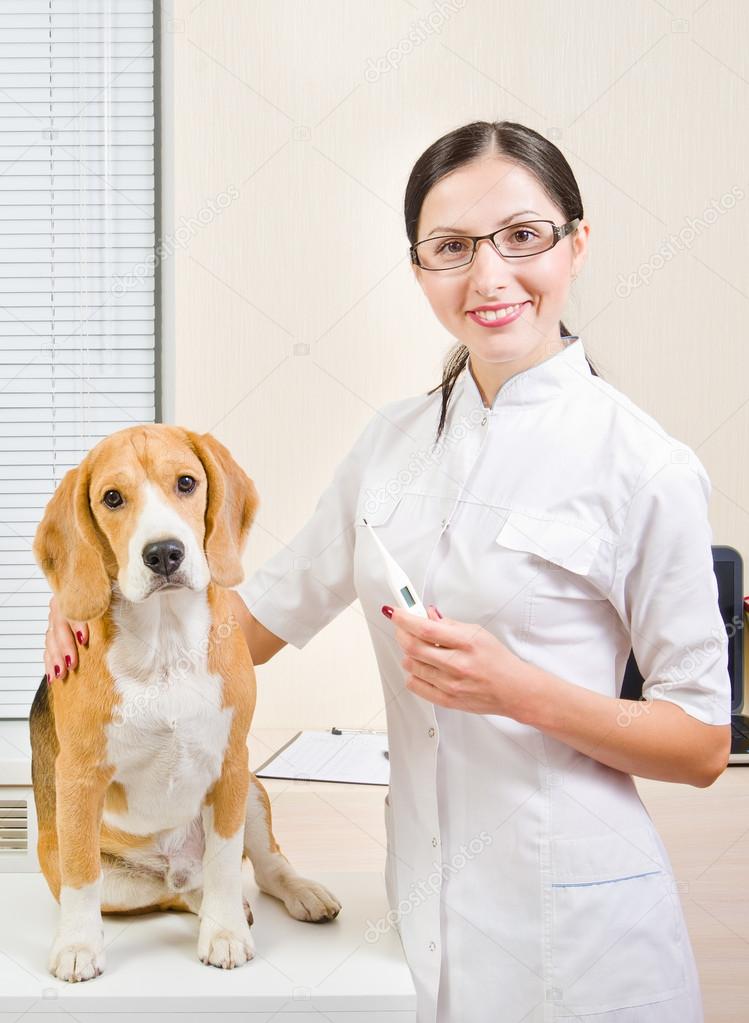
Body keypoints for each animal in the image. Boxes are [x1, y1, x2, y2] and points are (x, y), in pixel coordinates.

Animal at [29, 423, 339, 982]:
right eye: (112, 497)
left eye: (187, 483)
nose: (164, 554)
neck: (166, 642)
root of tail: (175, 866)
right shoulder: (79, 777)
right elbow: (82, 878)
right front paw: (78, 945)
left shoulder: (231, 766)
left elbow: (226, 863)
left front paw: (224, 933)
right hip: (104, 877)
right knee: (169, 893)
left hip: (252, 791)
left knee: (260, 867)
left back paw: (294, 893)